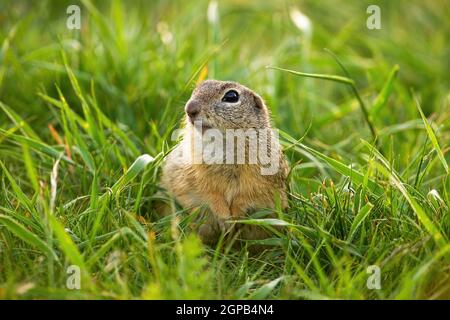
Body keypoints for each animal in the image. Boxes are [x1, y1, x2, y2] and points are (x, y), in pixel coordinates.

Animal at [160, 79, 290, 245]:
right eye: (196, 89)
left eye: (231, 96)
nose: (189, 109)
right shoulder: (194, 175)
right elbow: (209, 194)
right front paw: (224, 218)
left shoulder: (261, 181)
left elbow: (248, 197)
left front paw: (235, 218)